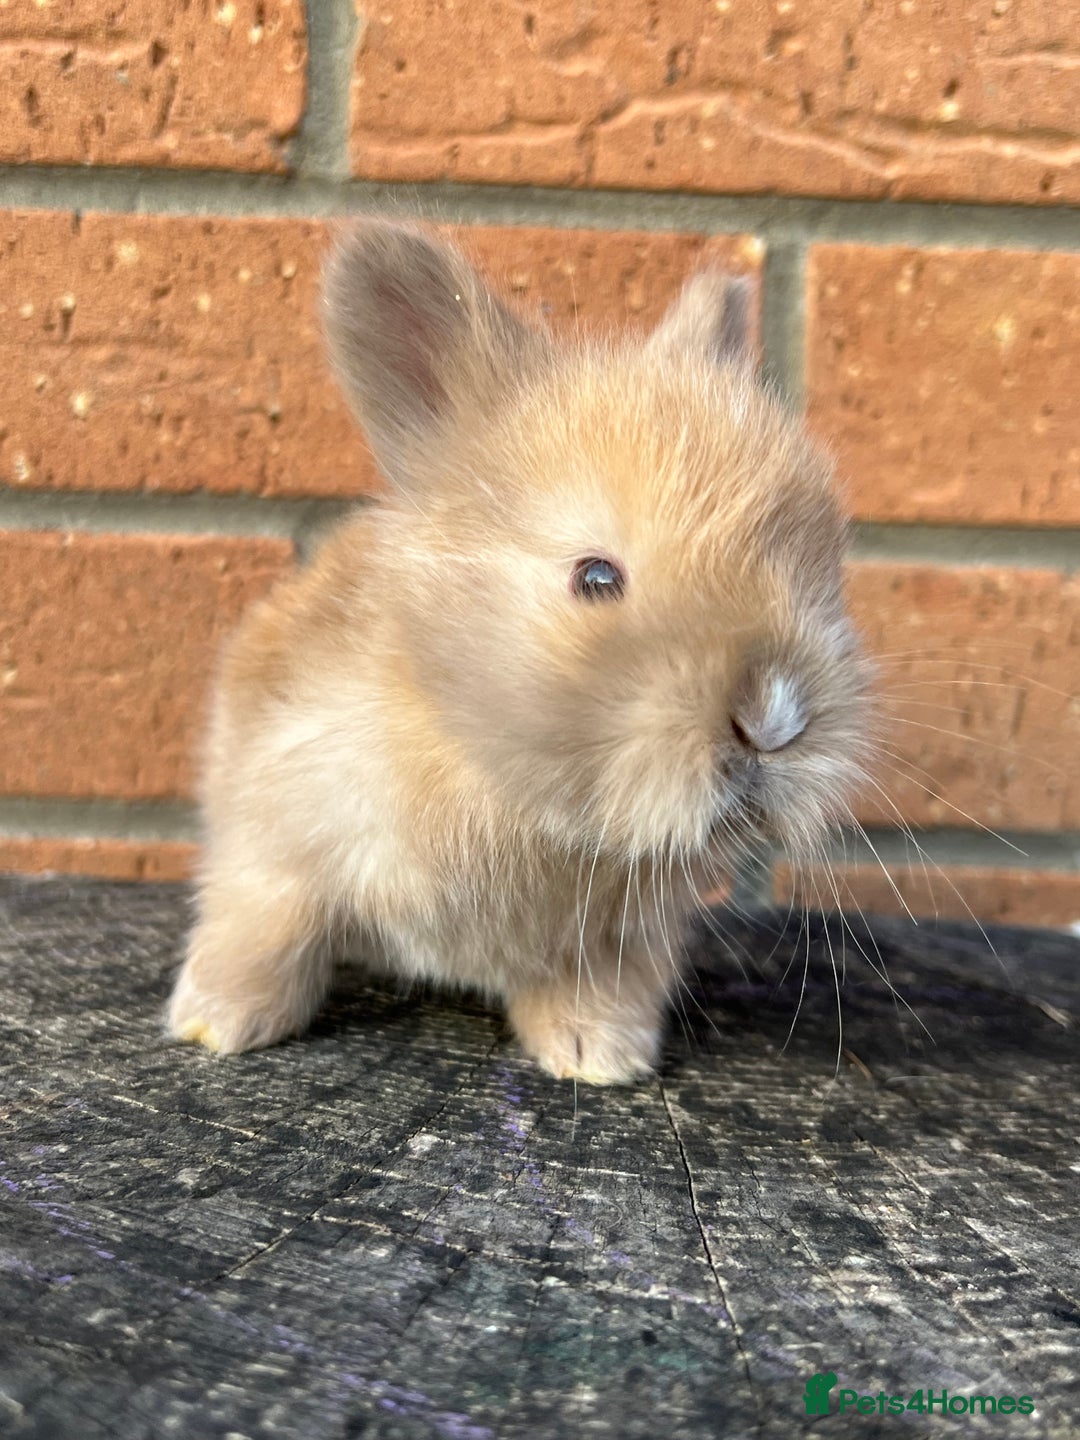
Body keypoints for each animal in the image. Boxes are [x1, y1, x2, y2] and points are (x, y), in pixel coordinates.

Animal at [166, 219, 874, 1084]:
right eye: (596, 577)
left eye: (820, 566)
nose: (774, 716)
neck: (501, 782)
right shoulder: (275, 838)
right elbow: (264, 928)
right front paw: (217, 1023)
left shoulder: (617, 938)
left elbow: (599, 986)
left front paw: (602, 1056)